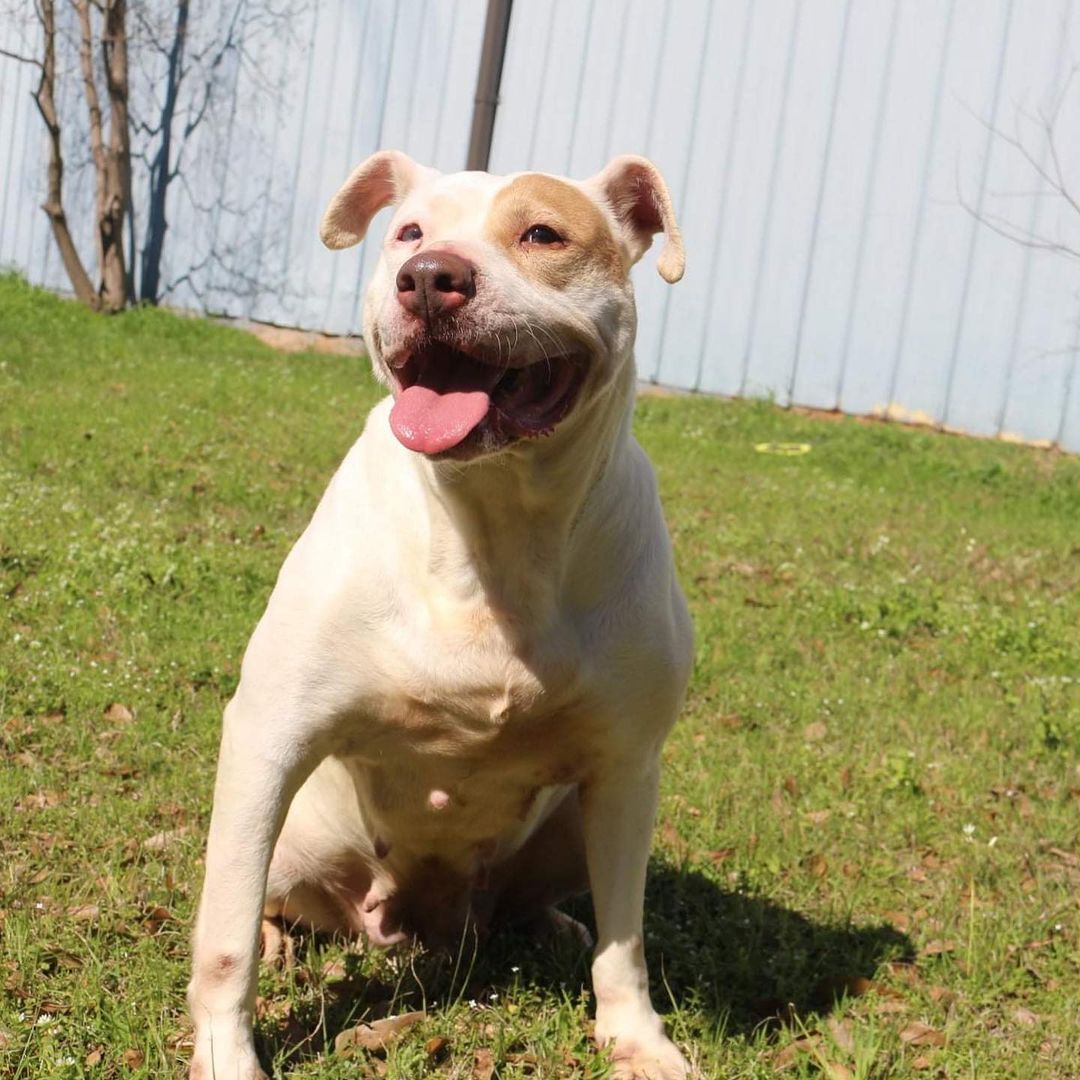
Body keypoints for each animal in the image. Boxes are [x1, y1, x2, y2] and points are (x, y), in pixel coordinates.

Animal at [185, 147, 691, 1075]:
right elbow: (224, 936)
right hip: (291, 835)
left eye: (543, 234)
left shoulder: (628, 768)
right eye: (409, 233)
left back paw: (552, 924)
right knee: (259, 897)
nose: (429, 278)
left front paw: (637, 1038)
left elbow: (626, 939)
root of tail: (418, 925)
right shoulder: (269, 734)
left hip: (572, 825)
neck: (493, 526)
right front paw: (226, 1053)